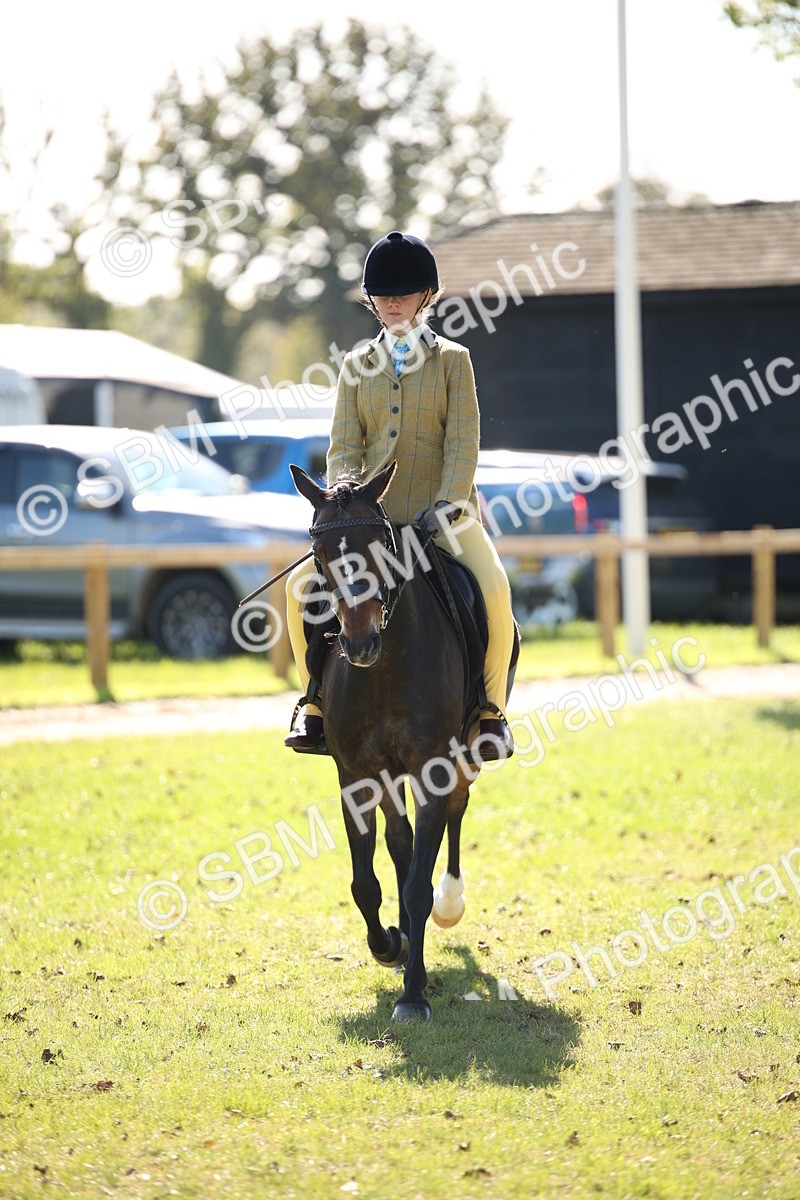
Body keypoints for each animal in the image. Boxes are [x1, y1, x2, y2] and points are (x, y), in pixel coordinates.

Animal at [290, 460, 519, 1022]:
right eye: (320, 555)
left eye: (381, 547)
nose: (358, 643)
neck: (385, 668)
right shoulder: (355, 775)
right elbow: (365, 882)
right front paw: (389, 945)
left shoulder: (433, 766)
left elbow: (418, 883)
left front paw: (414, 994)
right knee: (401, 843)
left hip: (463, 753)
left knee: (454, 815)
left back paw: (450, 903)